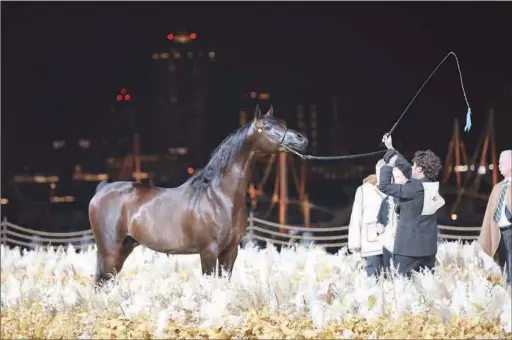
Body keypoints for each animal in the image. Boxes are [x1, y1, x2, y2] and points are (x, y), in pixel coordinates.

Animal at [89, 105, 308, 284]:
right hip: (110, 250)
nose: (302, 139)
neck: (220, 197)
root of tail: (102, 189)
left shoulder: (230, 251)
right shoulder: (208, 251)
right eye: (267, 127)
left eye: (283, 123)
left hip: (124, 247)